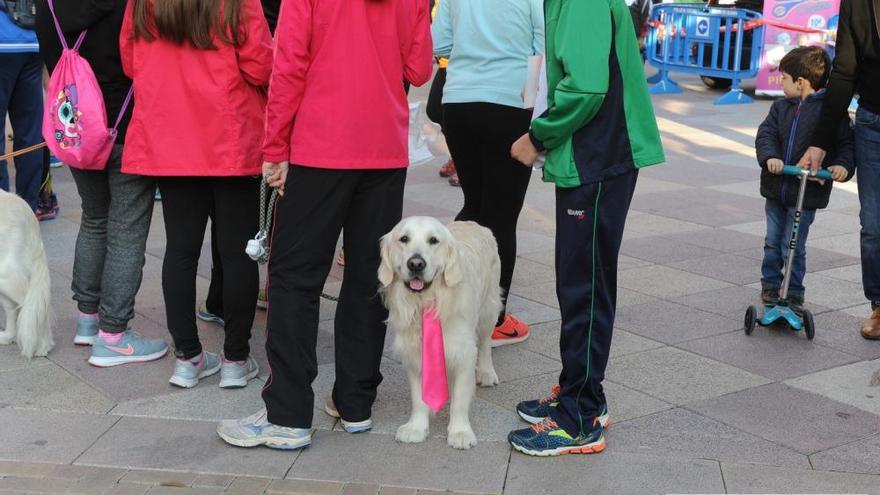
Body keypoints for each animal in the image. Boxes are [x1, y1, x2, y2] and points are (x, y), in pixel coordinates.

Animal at [378, 217, 502, 450]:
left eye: (433, 240)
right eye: (404, 239)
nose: (416, 264)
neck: (428, 301)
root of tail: (473, 223)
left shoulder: (464, 351)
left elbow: (460, 398)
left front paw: (460, 432)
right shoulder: (414, 352)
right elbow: (419, 397)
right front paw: (416, 427)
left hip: (488, 309)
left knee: (485, 342)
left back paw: (486, 372)